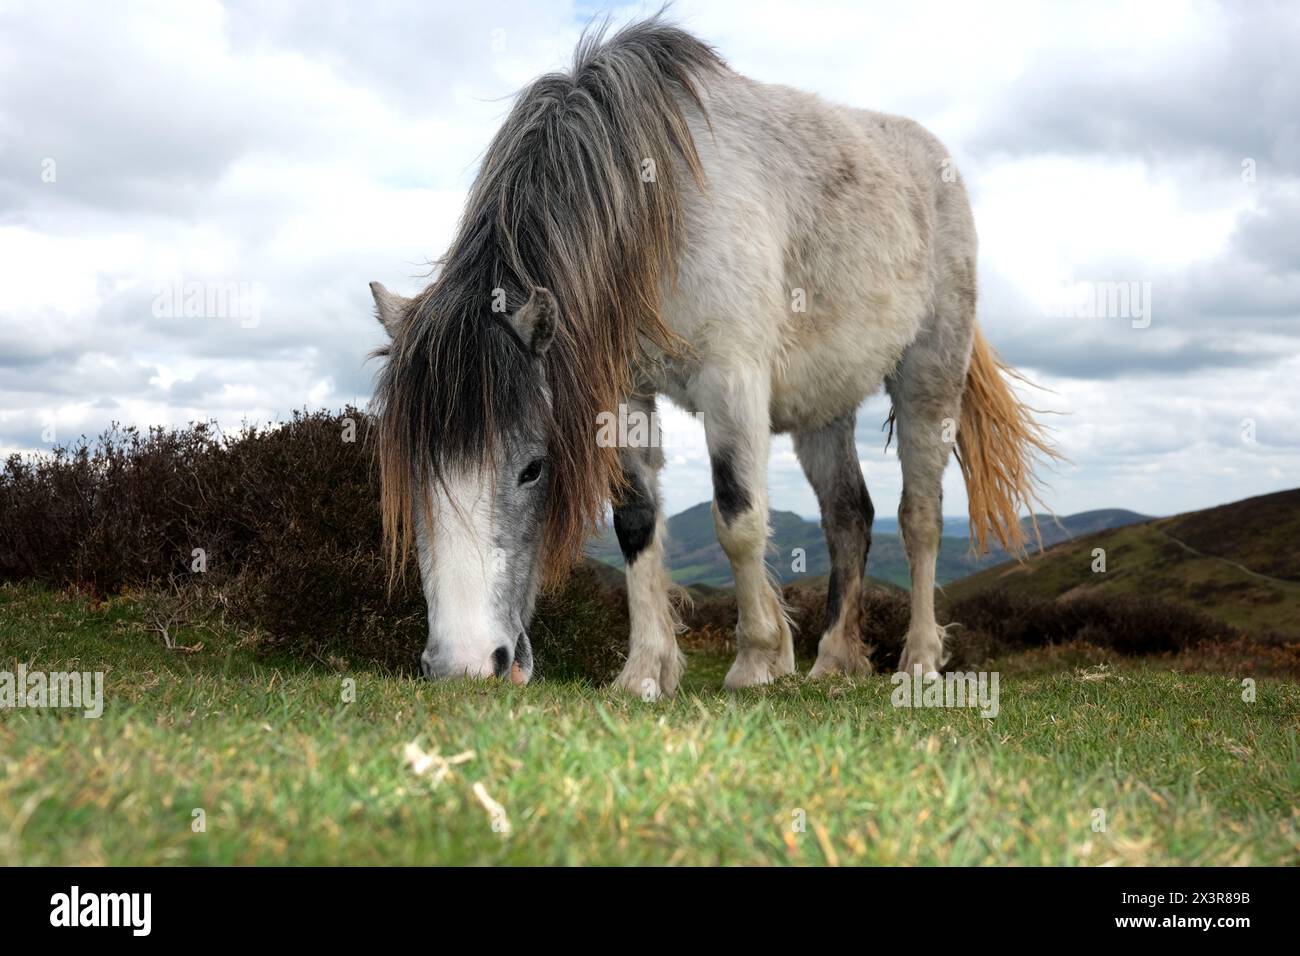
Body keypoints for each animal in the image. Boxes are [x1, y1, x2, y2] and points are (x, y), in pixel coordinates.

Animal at [369, 16, 1055, 695]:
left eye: (533, 468)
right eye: (411, 468)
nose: (464, 666)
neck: (657, 199)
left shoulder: (732, 380)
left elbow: (738, 517)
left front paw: (757, 659)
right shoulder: (625, 391)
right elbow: (636, 520)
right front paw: (645, 671)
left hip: (930, 376)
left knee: (920, 516)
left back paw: (918, 661)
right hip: (823, 407)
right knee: (849, 517)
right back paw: (834, 659)